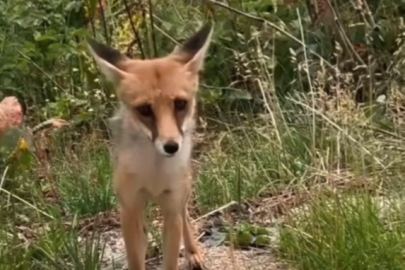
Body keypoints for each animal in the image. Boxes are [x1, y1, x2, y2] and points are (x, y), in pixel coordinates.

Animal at [86, 22, 213, 270]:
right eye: (145, 110)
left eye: (180, 104)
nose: (171, 146)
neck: (154, 173)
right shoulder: (129, 210)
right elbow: (136, 260)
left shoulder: (171, 209)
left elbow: (171, 258)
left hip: (181, 194)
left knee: (185, 214)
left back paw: (193, 252)